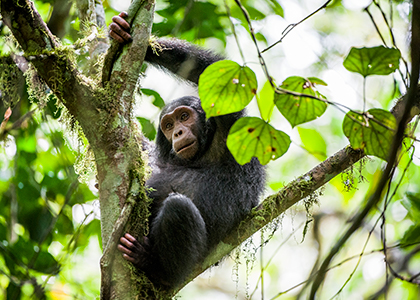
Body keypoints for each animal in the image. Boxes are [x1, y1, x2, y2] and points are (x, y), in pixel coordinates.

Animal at [109, 12, 266, 288]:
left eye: (184, 116)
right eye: (169, 125)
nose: (178, 133)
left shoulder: (230, 125)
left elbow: (215, 72)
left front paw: (146, 46)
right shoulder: (152, 155)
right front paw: (120, 30)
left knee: (178, 208)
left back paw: (153, 266)